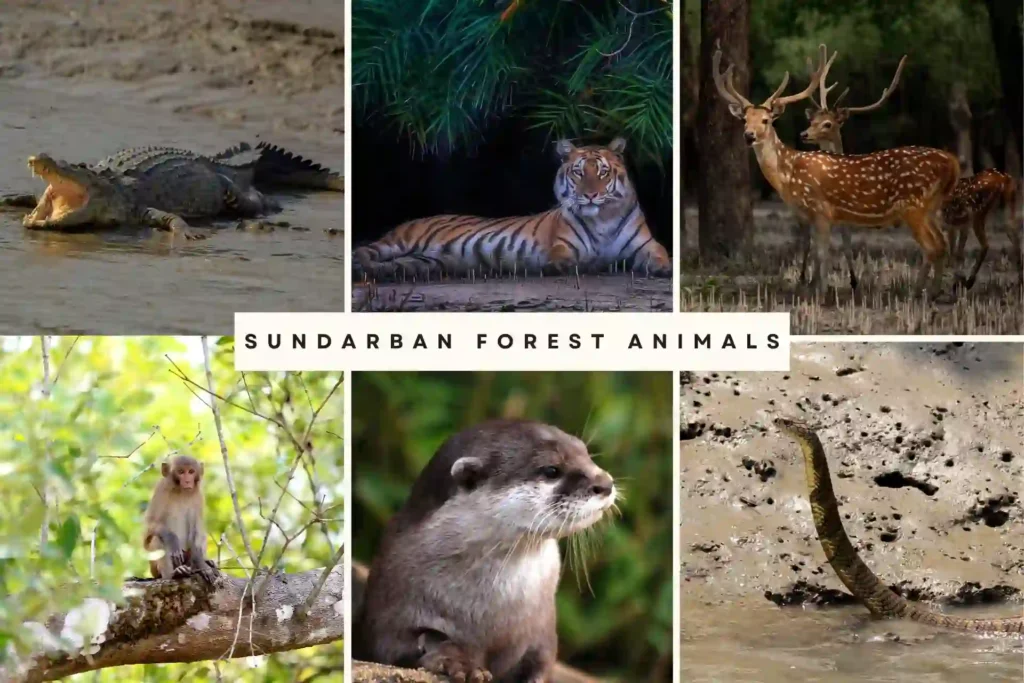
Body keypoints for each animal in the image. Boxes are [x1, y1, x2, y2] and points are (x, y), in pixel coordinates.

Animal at [143, 455, 217, 583]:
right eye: (181, 472)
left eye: (191, 472)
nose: (187, 481)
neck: (181, 492)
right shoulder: (160, 489)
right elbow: (150, 525)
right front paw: (173, 541)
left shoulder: (198, 496)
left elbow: (197, 530)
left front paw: (202, 565)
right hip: (154, 568)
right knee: (157, 539)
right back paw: (175, 573)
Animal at [352, 137, 672, 282]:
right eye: (579, 173)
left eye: (603, 173)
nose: (590, 195)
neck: (603, 219)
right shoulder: (562, 246)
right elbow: (564, 259)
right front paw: (572, 266)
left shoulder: (646, 244)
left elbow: (660, 254)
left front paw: (664, 268)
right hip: (400, 242)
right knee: (363, 251)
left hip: (423, 261)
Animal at [711, 42, 960, 300]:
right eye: (744, 119)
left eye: (766, 120)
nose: (749, 135)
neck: (788, 174)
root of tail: (952, 162)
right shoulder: (815, 216)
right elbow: (817, 253)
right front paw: (815, 290)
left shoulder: (820, 209)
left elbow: (822, 255)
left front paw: (821, 294)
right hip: (930, 207)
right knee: (941, 244)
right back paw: (931, 292)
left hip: (913, 205)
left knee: (932, 247)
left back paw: (921, 294)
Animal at [801, 46, 1022, 291]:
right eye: (813, 121)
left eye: (828, 124)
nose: (804, 134)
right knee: (1006, 233)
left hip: (954, 211)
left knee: (960, 244)